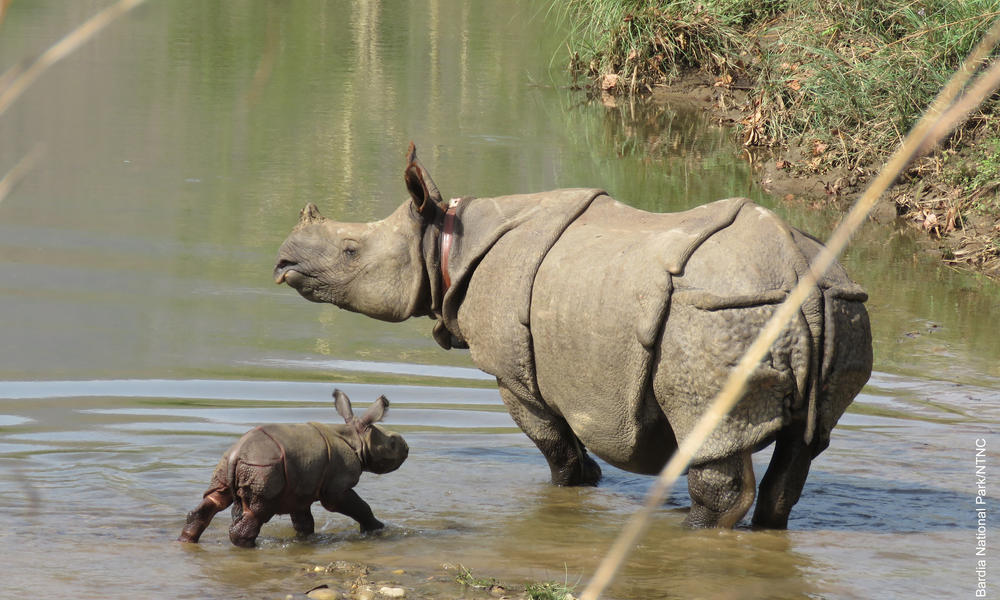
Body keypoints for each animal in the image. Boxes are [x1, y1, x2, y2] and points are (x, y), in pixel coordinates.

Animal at [178, 389, 408, 546]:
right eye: (392, 444)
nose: (407, 448)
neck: (356, 438)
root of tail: (236, 455)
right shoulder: (336, 488)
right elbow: (359, 507)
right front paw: (377, 529)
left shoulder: (300, 488)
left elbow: (304, 522)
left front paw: (307, 540)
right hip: (263, 468)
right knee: (257, 511)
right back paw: (251, 547)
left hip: (230, 464)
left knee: (215, 499)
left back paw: (186, 541)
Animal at [273, 144, 872, 529]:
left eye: (350, 251)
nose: (282, 263)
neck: (444, 242)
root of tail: (796, 271)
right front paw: (591, 485)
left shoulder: (514, 375)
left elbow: (555, 447)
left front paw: (569, 490)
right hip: (838, 305)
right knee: (804, 447)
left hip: (719, 315)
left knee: (711, 431)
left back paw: (690, 528)